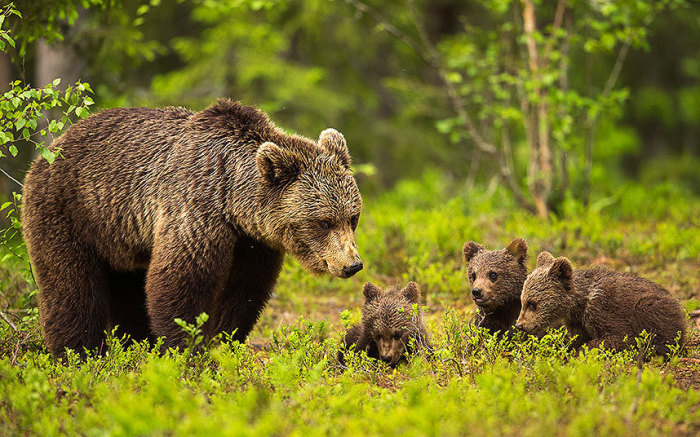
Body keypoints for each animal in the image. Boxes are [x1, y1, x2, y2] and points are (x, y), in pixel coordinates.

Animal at [23, 99, 360, 358]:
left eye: (353, 217)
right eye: (324, 221)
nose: (352, 265)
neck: (233, 200)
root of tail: (50, 148)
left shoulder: (253, 243)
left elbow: (243, 292)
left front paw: (222, 343)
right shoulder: (196, 210)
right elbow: (181, 281)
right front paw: (186, 351)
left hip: (121, 238)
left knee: (128, 291)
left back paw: (134, 344)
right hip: (69, 212)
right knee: (70, 285)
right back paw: (79, 354)